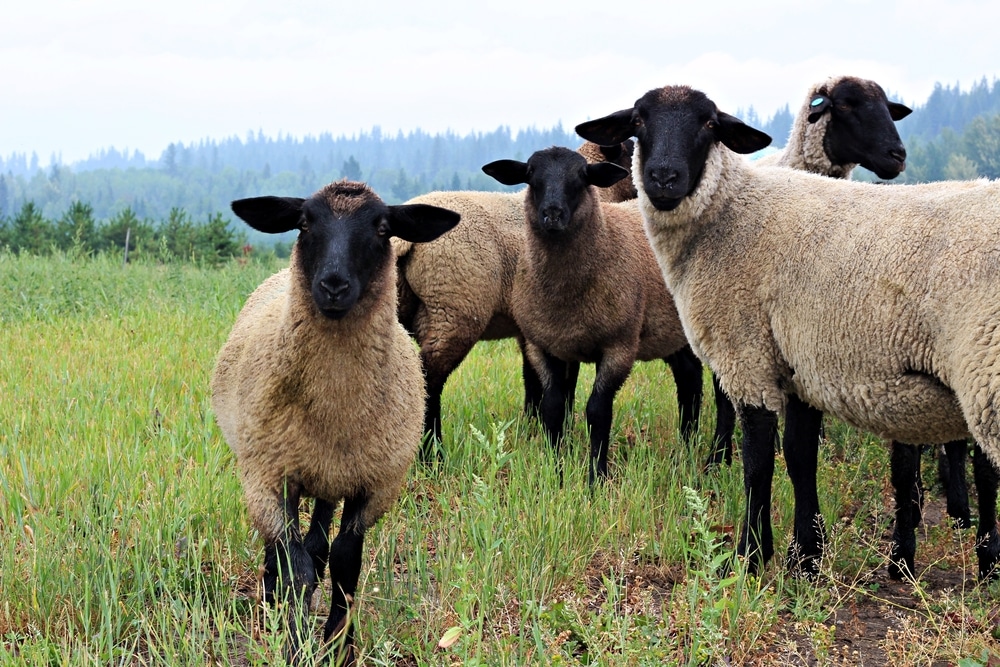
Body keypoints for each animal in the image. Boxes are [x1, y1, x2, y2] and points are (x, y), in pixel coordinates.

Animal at [214, 180, 460, 664]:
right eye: (304, 222)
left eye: (383, 228)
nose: (332, 285)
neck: (337, 410)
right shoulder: (269, 477)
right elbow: (295, 564)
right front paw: (294, 642)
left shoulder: (375, 484)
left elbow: (346, 562)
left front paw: (338, 643)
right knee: (281, 548)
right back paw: (270, 600)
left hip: (329, 474)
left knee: (319, 541)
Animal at [484, 147, 736, 486]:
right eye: (531, 175)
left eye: (581, 178)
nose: (552, 214)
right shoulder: (543, 346)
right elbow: (552, 407)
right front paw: (555, 472)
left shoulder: (619, 346)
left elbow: (597, 411)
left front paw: (596, 478)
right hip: (672, 332)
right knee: (689, 379)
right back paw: (685, 446)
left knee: (725, 395)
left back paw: (717, 461)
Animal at [572, 86, 1000, 580]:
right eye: (639, 121)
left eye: (709, 124)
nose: (663, 178)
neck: (730, 213)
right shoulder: (800, 366)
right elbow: (799, 459)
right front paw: (806, 557)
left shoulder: (748, 356)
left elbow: (757, 464)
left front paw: (752, 555)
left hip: (986, 373)